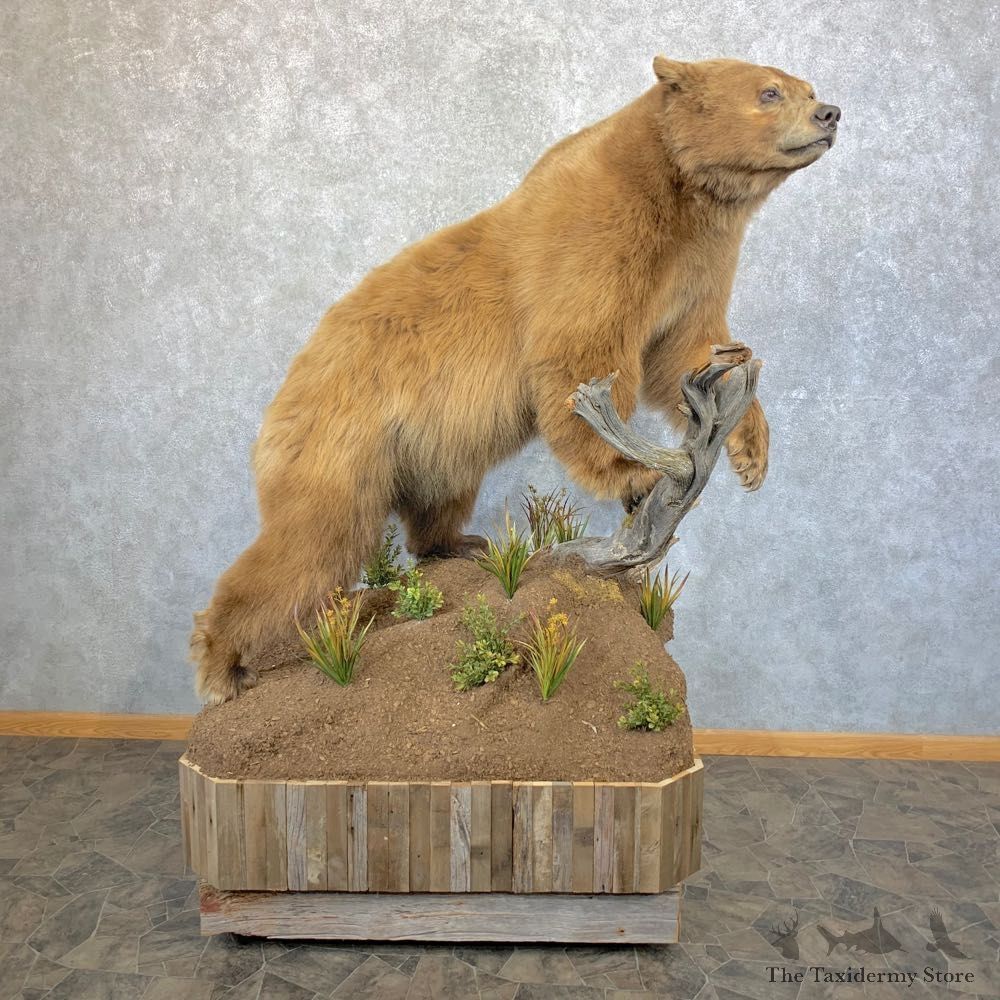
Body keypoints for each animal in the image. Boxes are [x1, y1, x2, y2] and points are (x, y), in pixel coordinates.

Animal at [191, 56, 840, 703]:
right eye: (770, 92)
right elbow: (581, 360)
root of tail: (287, 391)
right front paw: (632, 474)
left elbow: (689, 351)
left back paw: (458, 544)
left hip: (428, 451)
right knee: (310, 544)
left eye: (806, 86)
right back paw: (224, 667)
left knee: (430, 504)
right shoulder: (598, 242)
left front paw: (751, 455)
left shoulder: (697, 266)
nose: (830, 112)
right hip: (341, 445)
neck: (681, 195)